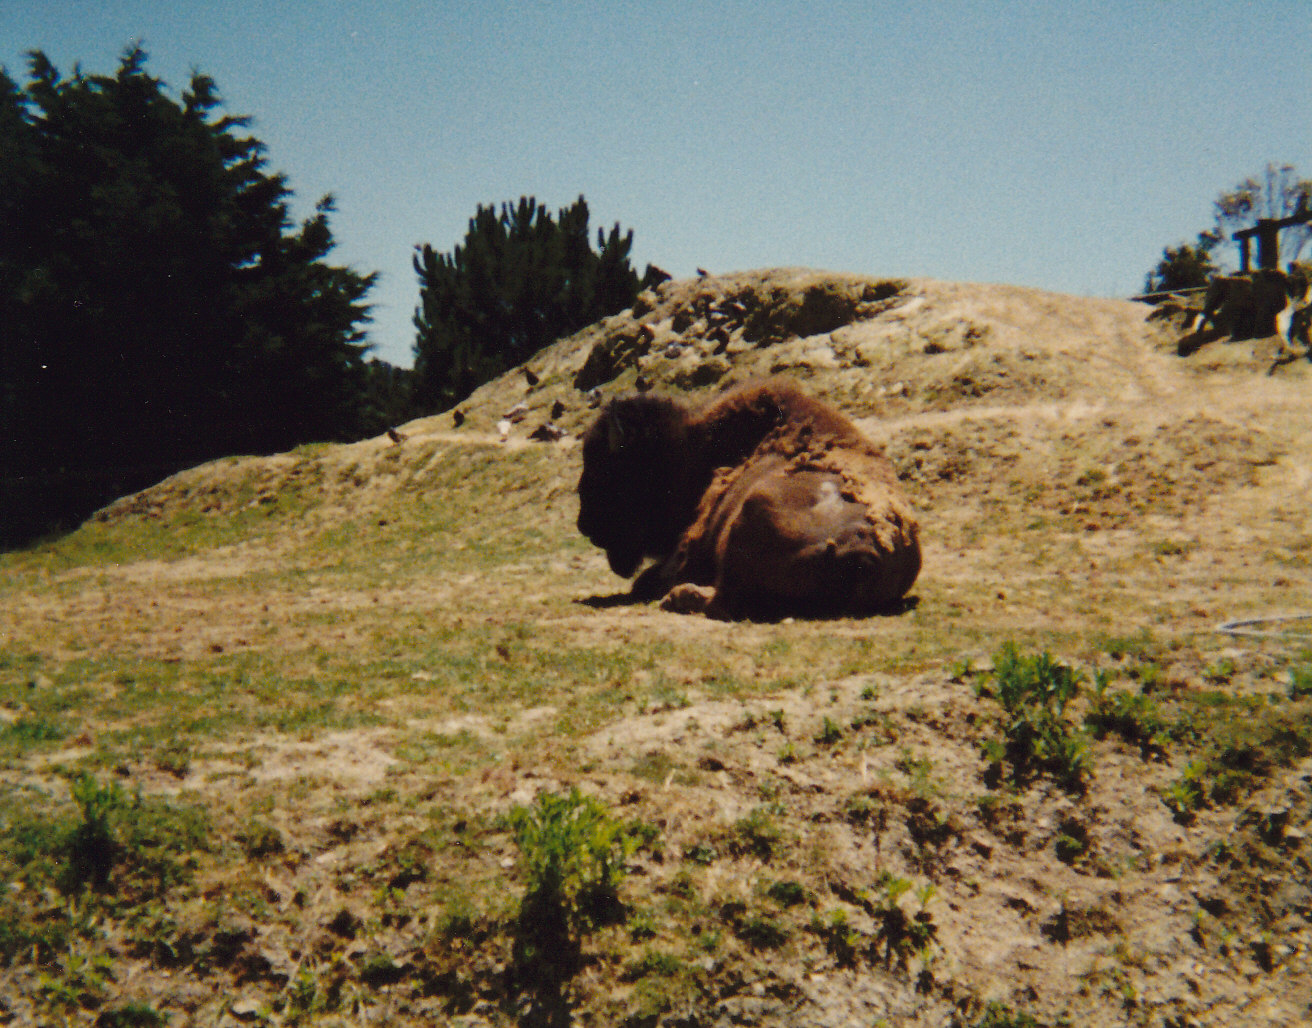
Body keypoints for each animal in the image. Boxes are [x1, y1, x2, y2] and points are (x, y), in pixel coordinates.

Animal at [577, 379, 921, 620]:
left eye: (604, 470)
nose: (584, 526)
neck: (694, 451)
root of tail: (863, 552)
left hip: (751, 512)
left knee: (722, 603)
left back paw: (677, 598)